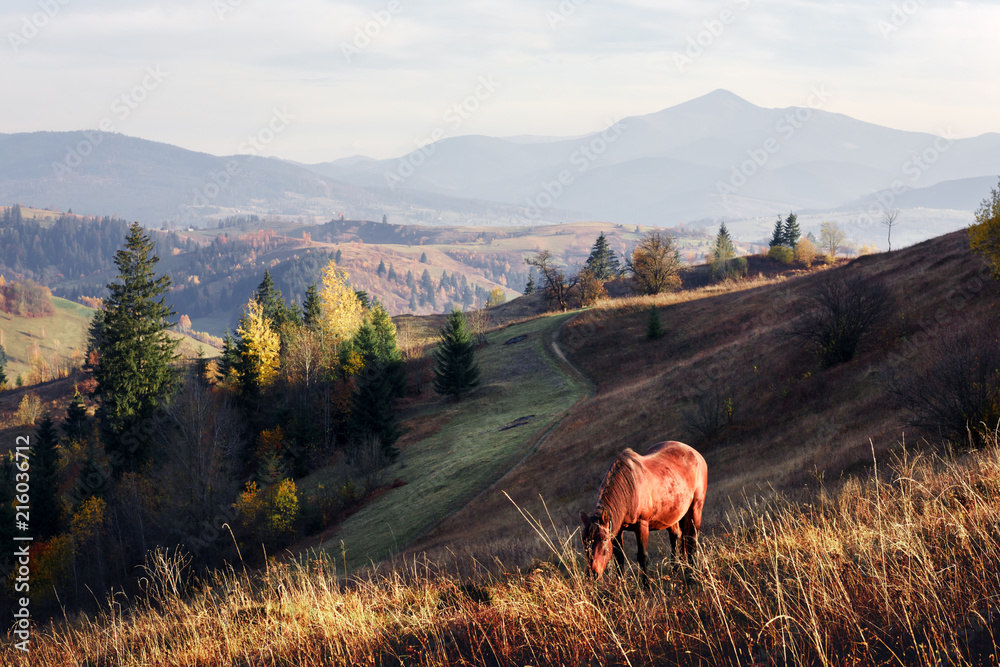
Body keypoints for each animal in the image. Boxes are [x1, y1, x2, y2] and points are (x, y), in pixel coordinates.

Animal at [584, 444, 708, 584]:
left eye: (604, 539)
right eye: (584, 541)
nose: (592, 574)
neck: (630, 489)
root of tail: (695, 453)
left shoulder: (641, 525)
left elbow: (643, 556)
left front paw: (646, 585)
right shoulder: (617, 530)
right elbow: (619, 558)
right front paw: (622, 585)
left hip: (695, 507)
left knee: (692, 538)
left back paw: (692, 572)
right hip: (675, 514)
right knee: (677, 537)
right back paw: (678, 570)